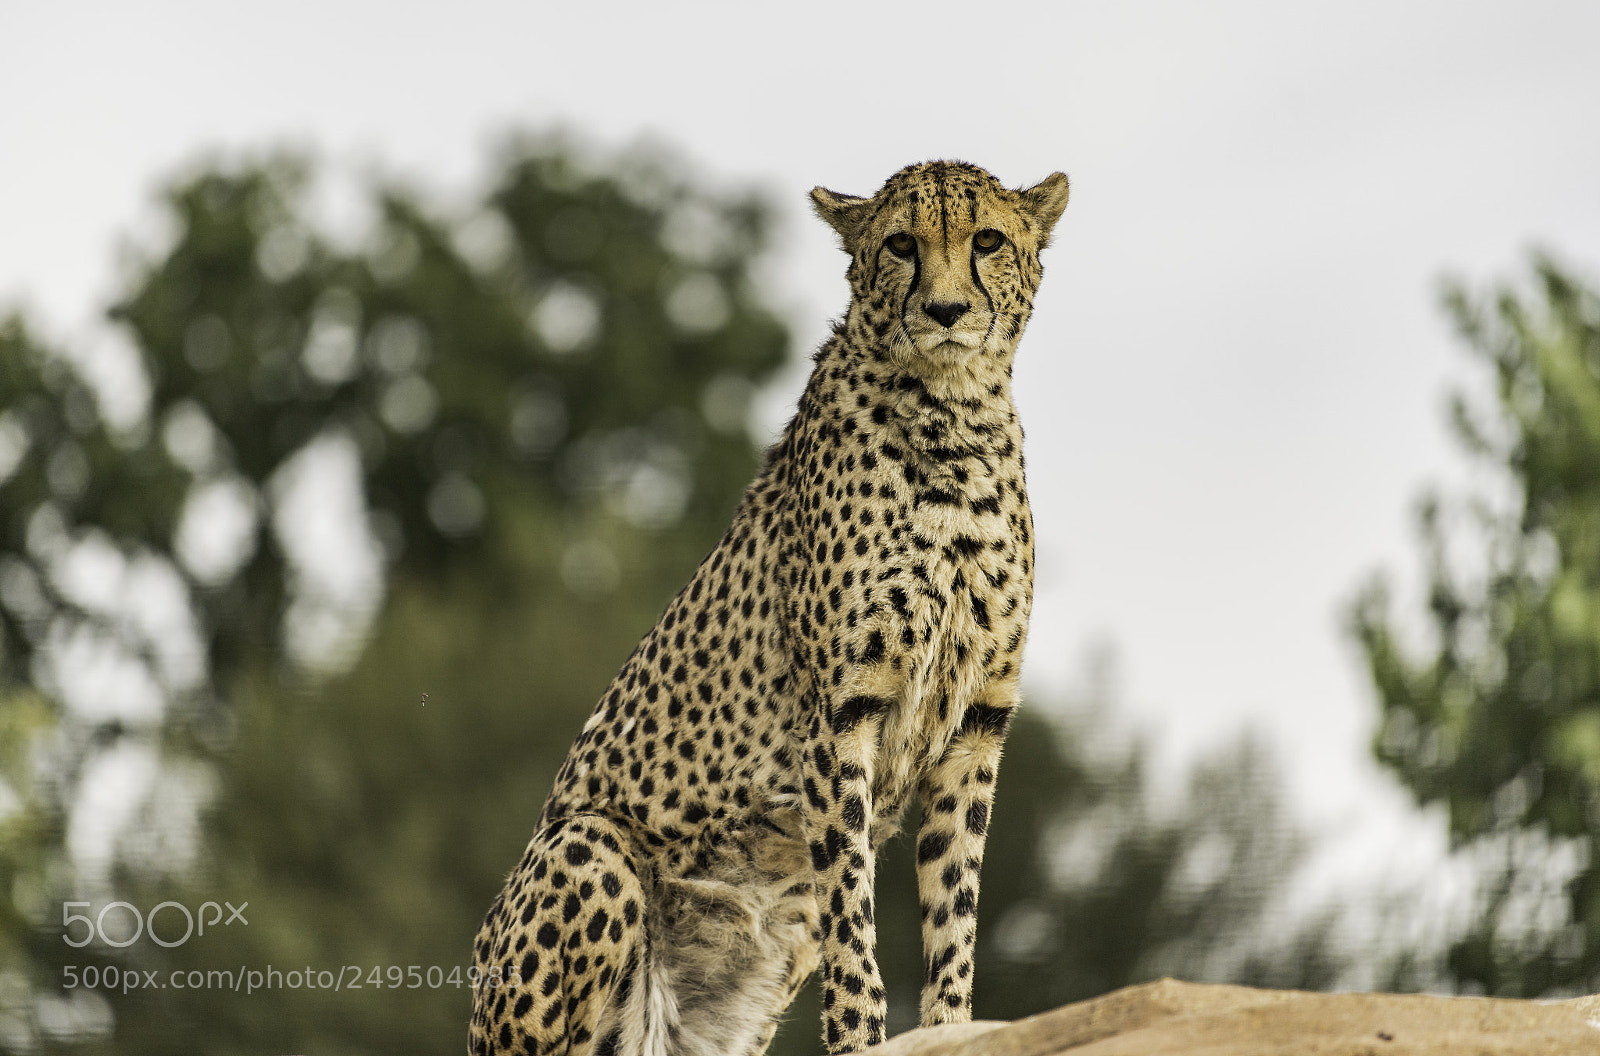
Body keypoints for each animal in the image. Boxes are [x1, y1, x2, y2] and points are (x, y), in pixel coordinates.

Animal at [470, 159, 1070, 1056]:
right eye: (902, 245)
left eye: (989, 240)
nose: (946, 311)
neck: (954, 416)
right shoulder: (840, 713)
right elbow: (851, 904)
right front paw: (860, 1034)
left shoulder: (976, 726)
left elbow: (953, 908)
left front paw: (955, 1026)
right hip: (589, 846)